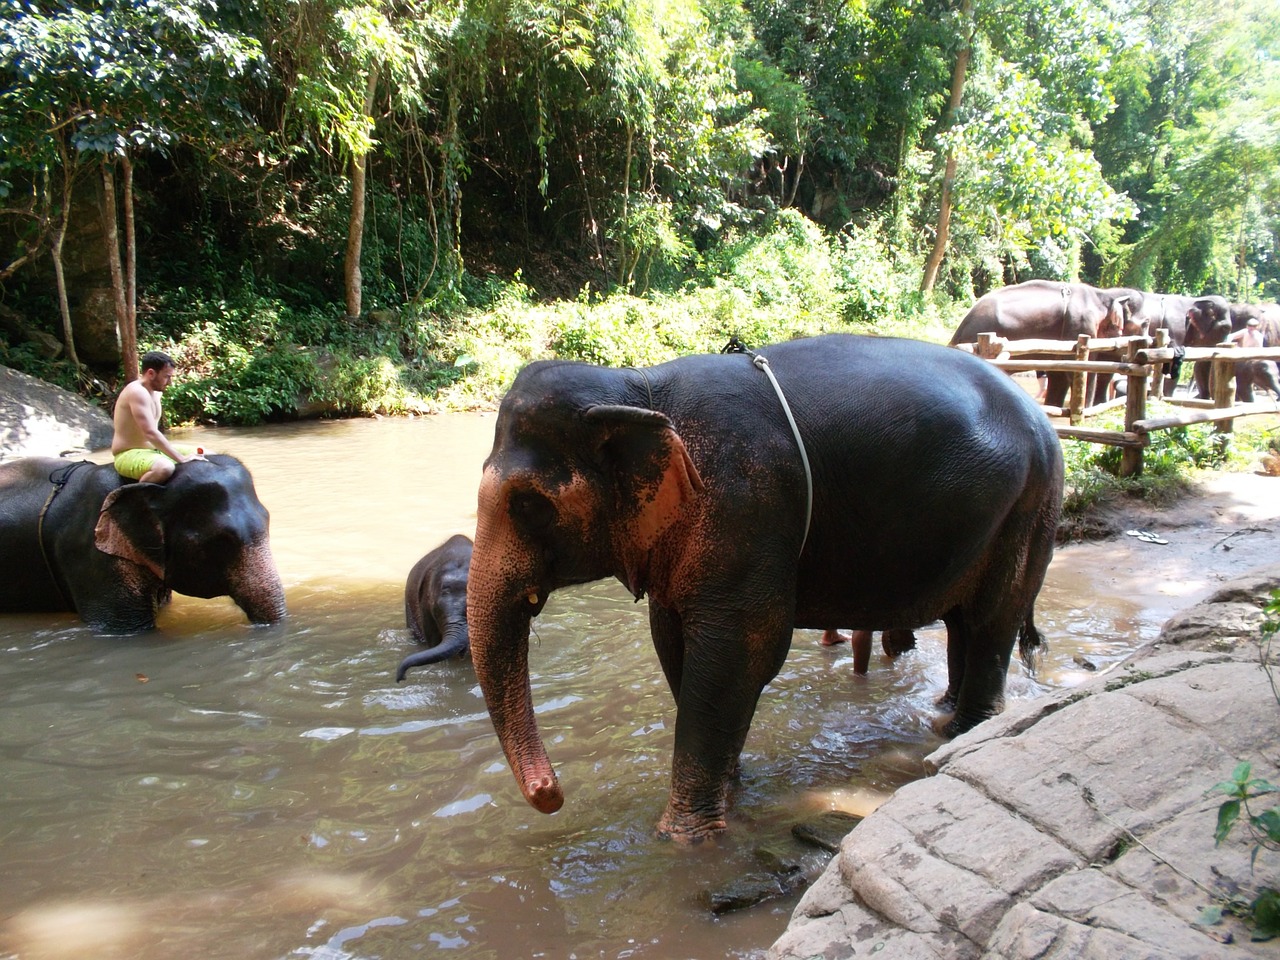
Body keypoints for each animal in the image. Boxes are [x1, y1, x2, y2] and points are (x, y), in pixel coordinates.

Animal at [465, 332, 1064, 839]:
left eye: (529, 505)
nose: (551, 794)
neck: (639, 388)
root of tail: (1041, 413)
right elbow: (672, 642)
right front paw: (731, 792)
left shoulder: (746, 503)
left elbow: (741, 652)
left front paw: (683, 839)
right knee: (965, 622)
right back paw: (944, 715)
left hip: (1032, 507)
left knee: (991, 620)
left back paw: (962, 730)